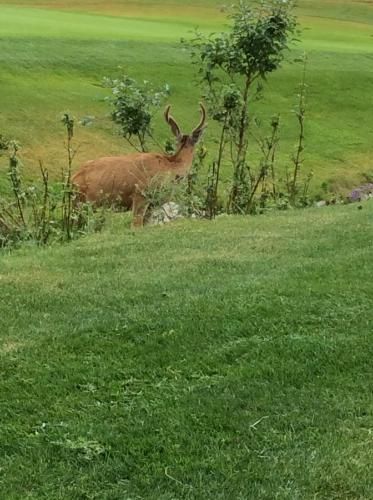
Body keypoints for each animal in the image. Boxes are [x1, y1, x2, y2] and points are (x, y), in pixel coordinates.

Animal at [72, 103, 206, 227]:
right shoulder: (140, 194)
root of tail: (72, 178)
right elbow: (136, 226)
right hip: (81, 201)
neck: (170, 167)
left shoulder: (153, 204)